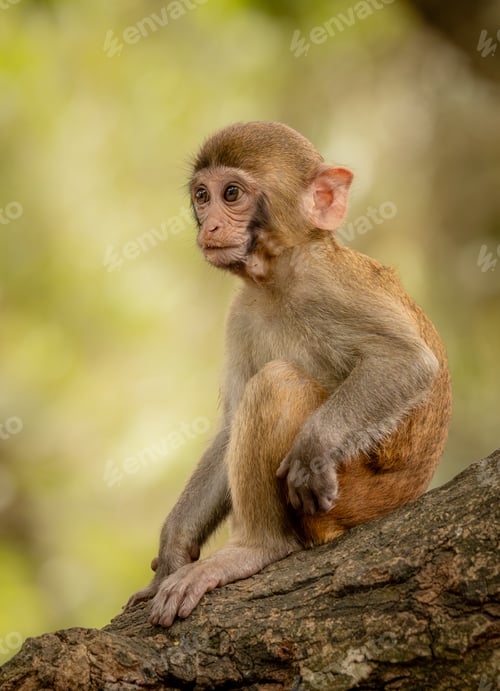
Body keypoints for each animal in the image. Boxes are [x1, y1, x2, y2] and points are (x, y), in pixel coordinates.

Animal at [125, 121, 451, 627]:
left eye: (231, 193)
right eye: (202, 195)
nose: (211, 225)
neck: (277, 276)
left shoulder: (328, 284)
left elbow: (408, 361)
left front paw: (315, 444)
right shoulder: (241, 312)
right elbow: (231, 424)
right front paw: (173, 551)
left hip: (356, 497)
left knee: (280, 383)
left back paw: (258, 548)